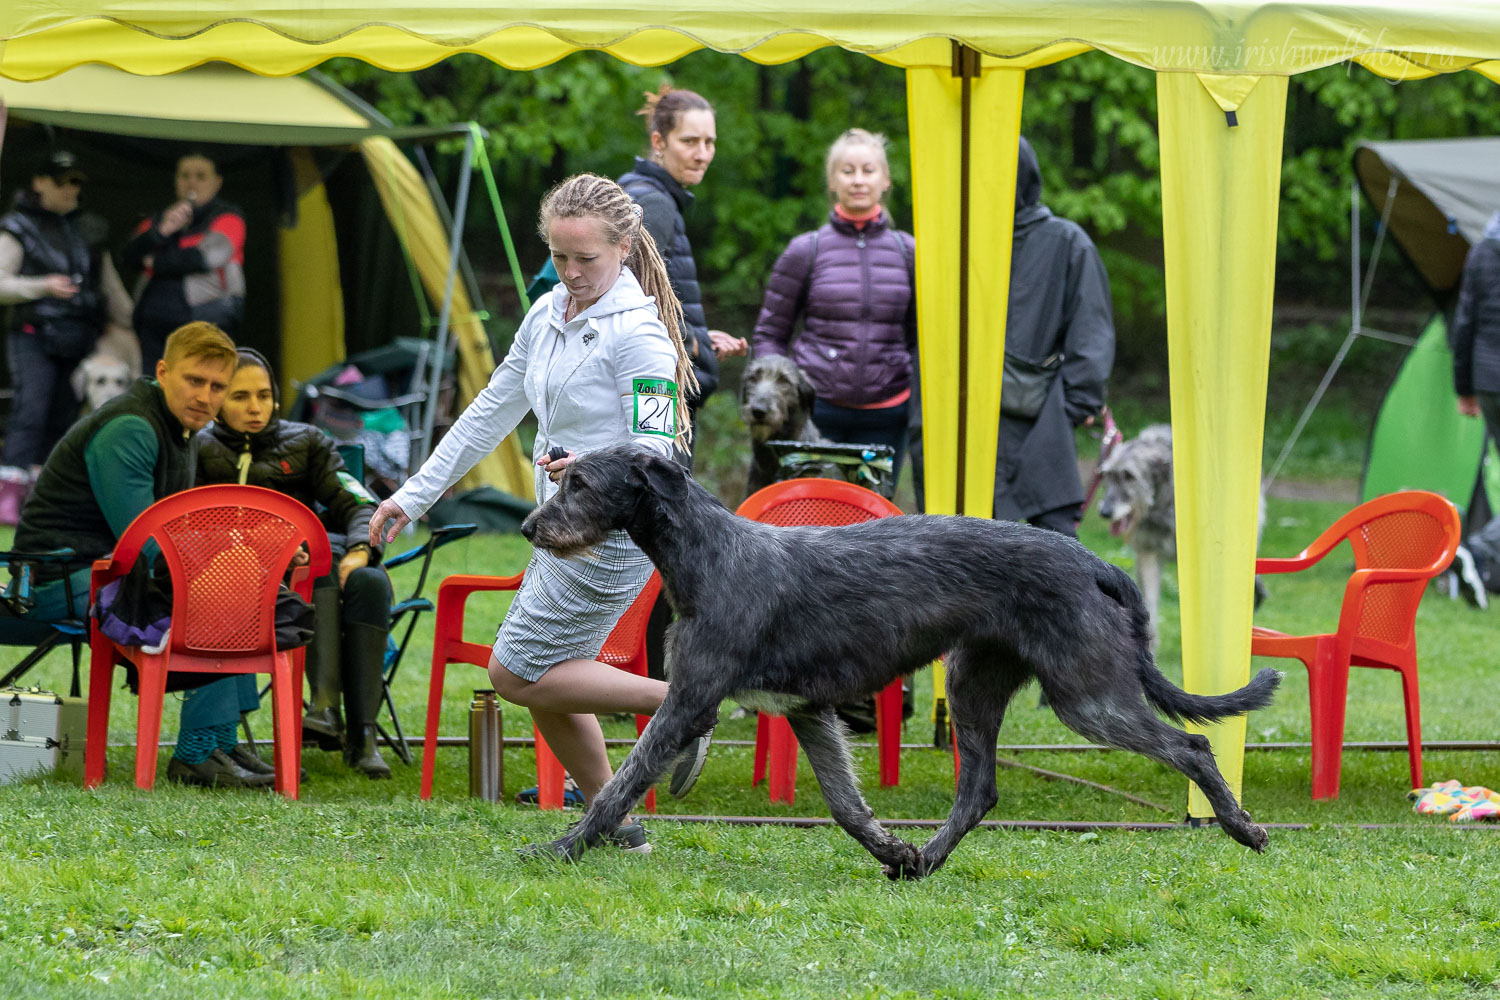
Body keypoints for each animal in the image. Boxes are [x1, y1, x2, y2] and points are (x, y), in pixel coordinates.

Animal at [522, 449, 1284, 881]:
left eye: (579, 482)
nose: (529, 527)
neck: (710, 555)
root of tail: (1092, 560)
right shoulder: (805, 711)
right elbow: (845, 804)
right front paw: (892, 850)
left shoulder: (690, 700)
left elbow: (621, 784)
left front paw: (561, 847)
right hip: (974, 684)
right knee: (978, 790)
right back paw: (926, 862)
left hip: (1087, 696)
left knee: (1192, 745)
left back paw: (1244, 828)